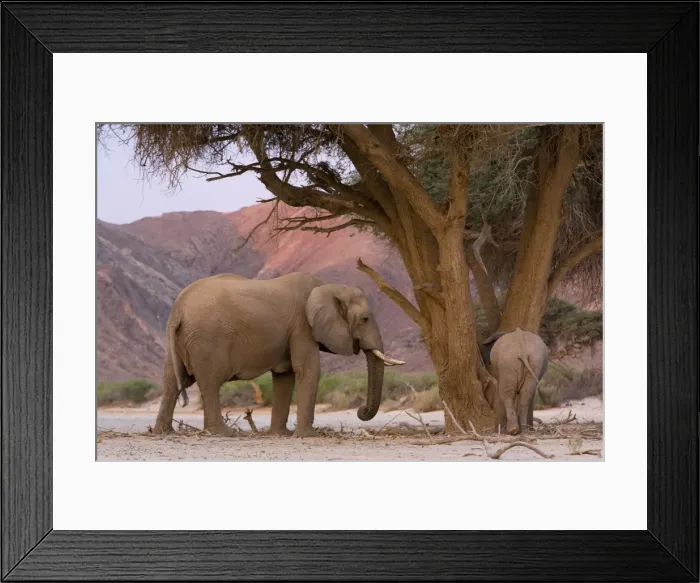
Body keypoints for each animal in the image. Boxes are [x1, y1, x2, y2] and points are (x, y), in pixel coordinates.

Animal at [152, 272, 405, 437]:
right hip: (207, 339)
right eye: (365, 319)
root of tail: (178, 309)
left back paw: (163, 432)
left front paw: (280, 434)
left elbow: (286, 376)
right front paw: (307, 436)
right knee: (210, 383)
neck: (328, 287)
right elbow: (308, 370)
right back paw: (224, 433)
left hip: (179, 340)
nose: (361, 411)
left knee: (171, 382)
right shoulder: (302, 327)